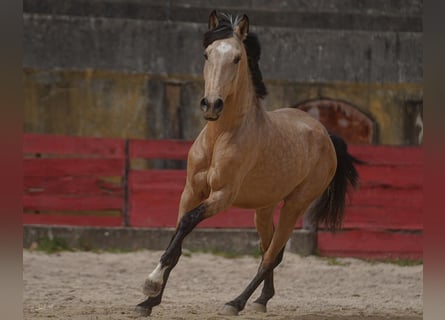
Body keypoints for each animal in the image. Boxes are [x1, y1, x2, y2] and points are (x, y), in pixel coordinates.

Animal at [136, 10, 360, 318]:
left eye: (237, 58)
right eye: (206, 54)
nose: (211, 105)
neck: (221, 136)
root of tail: (325, 134)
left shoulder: (222, 196)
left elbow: (187, 224)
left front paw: (150, 284)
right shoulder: (191, 191)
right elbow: (178, 237)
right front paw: (149, 301)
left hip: (295, 205)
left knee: (271, 256)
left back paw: (236, 302)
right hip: (264, 209)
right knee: (270, 250)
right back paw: (261, 300)